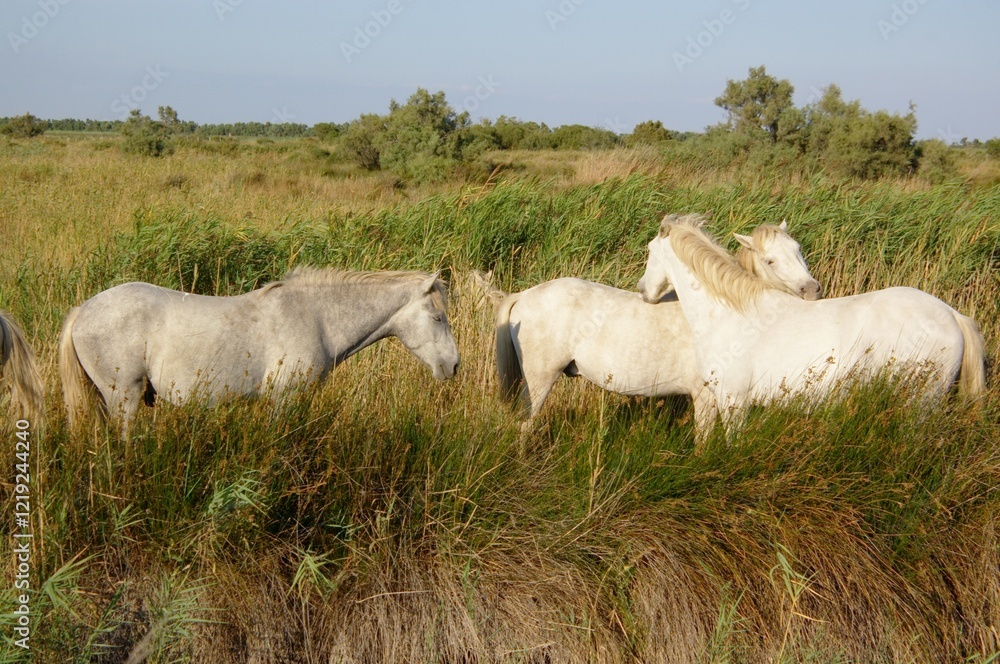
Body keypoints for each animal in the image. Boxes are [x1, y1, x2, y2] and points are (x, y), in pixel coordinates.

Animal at [60, 267, 460, 431]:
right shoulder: (283, 400)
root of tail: (83, 310)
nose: (454, 366)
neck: (317, 317)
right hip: (123, 398)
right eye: (438, 318)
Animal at [495, 218, 821, 439]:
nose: (813, 291)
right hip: (539, 382)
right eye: (770, 260)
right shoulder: (705, 397)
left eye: (798, 249)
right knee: (524, 427)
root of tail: (524, 294)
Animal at [637, 214, 986, 431]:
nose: (644, 291)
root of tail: (951, 313)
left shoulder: (734, 400)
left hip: (922, 402)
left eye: (650, 249)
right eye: (772, 260)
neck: (730, 315)